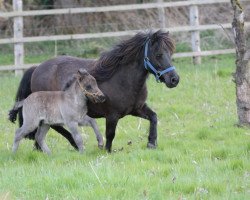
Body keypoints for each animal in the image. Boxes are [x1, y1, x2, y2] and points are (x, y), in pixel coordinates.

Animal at [8, 29, 180, 152]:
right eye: (158, 54)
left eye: (170, 53)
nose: (174, 79)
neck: (123, 80)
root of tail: (36, 68)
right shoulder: (112, 115)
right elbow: (110, 134)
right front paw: (106, 151)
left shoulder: (137, 109)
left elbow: (154, 117)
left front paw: (151, 143)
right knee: (56, 127)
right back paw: (73, 144)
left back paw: (40, 149)